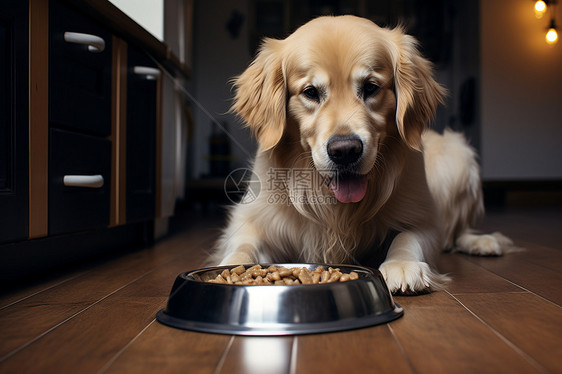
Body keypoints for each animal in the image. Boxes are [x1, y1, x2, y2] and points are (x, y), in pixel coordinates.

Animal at [211, 14, 512, 294]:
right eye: (310, 92)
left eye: (370, 87)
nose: (345, 151)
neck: (334, 206)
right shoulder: (250, 219)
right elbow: (242, 246)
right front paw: (228, 269)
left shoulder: (425, 217)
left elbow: (409, 237)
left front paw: (402, 264)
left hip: (456, 155)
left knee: (456, 232)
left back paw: (483, 241)